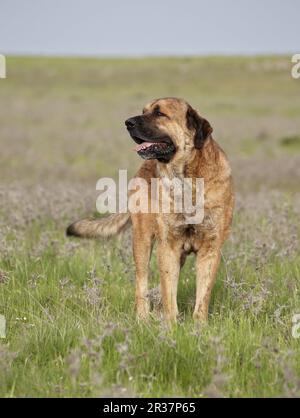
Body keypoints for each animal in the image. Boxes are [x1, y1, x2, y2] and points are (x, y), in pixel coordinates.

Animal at [66, 98, 234, 324]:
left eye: (160, 113)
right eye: (143, 111)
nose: (127, 122)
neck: (186, 179)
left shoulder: (210, 248)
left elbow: (202, 295)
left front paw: (199, 326)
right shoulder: (168, 246)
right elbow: (168, 291)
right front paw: (171, 325)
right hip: (142, 241)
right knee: (142, 282)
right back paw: (143, 318)